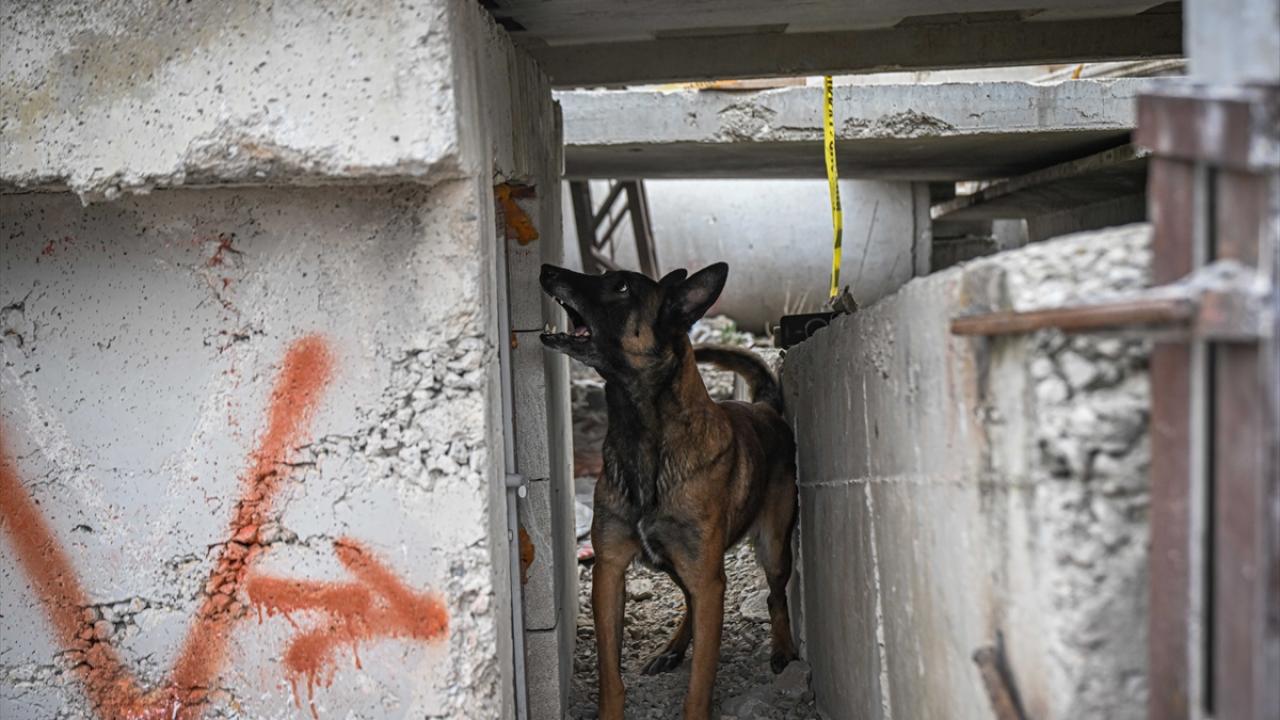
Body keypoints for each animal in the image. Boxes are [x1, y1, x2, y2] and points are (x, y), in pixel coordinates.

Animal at [539, 262, 799, 720]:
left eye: (621, 286)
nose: (547, 269)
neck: (644, 440)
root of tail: (765, 408)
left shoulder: (708, 579)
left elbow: (700, 683)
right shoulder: (609, 574)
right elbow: (610, 675)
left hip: (771, 546)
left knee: (774, 595)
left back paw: (782, 649)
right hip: (676, 565)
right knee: (691, 604)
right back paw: (673, 648)